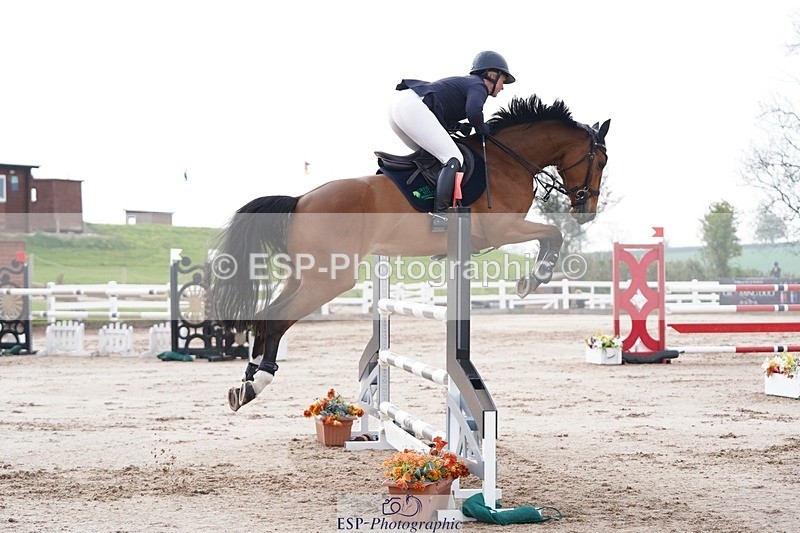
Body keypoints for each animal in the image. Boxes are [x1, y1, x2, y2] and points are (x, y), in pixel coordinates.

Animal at [210, 95, 610, 411]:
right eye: (601, 161)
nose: (587, 211)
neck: (508, 161)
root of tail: (299, 201)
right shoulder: (504, 229)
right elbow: (554, 234)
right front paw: (532, 281)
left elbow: (551, 236)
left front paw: (531, 280)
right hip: (329, 280)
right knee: (277, 319)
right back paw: (258, 383)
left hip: (304, 276)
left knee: (265, 316)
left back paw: (245, 384)